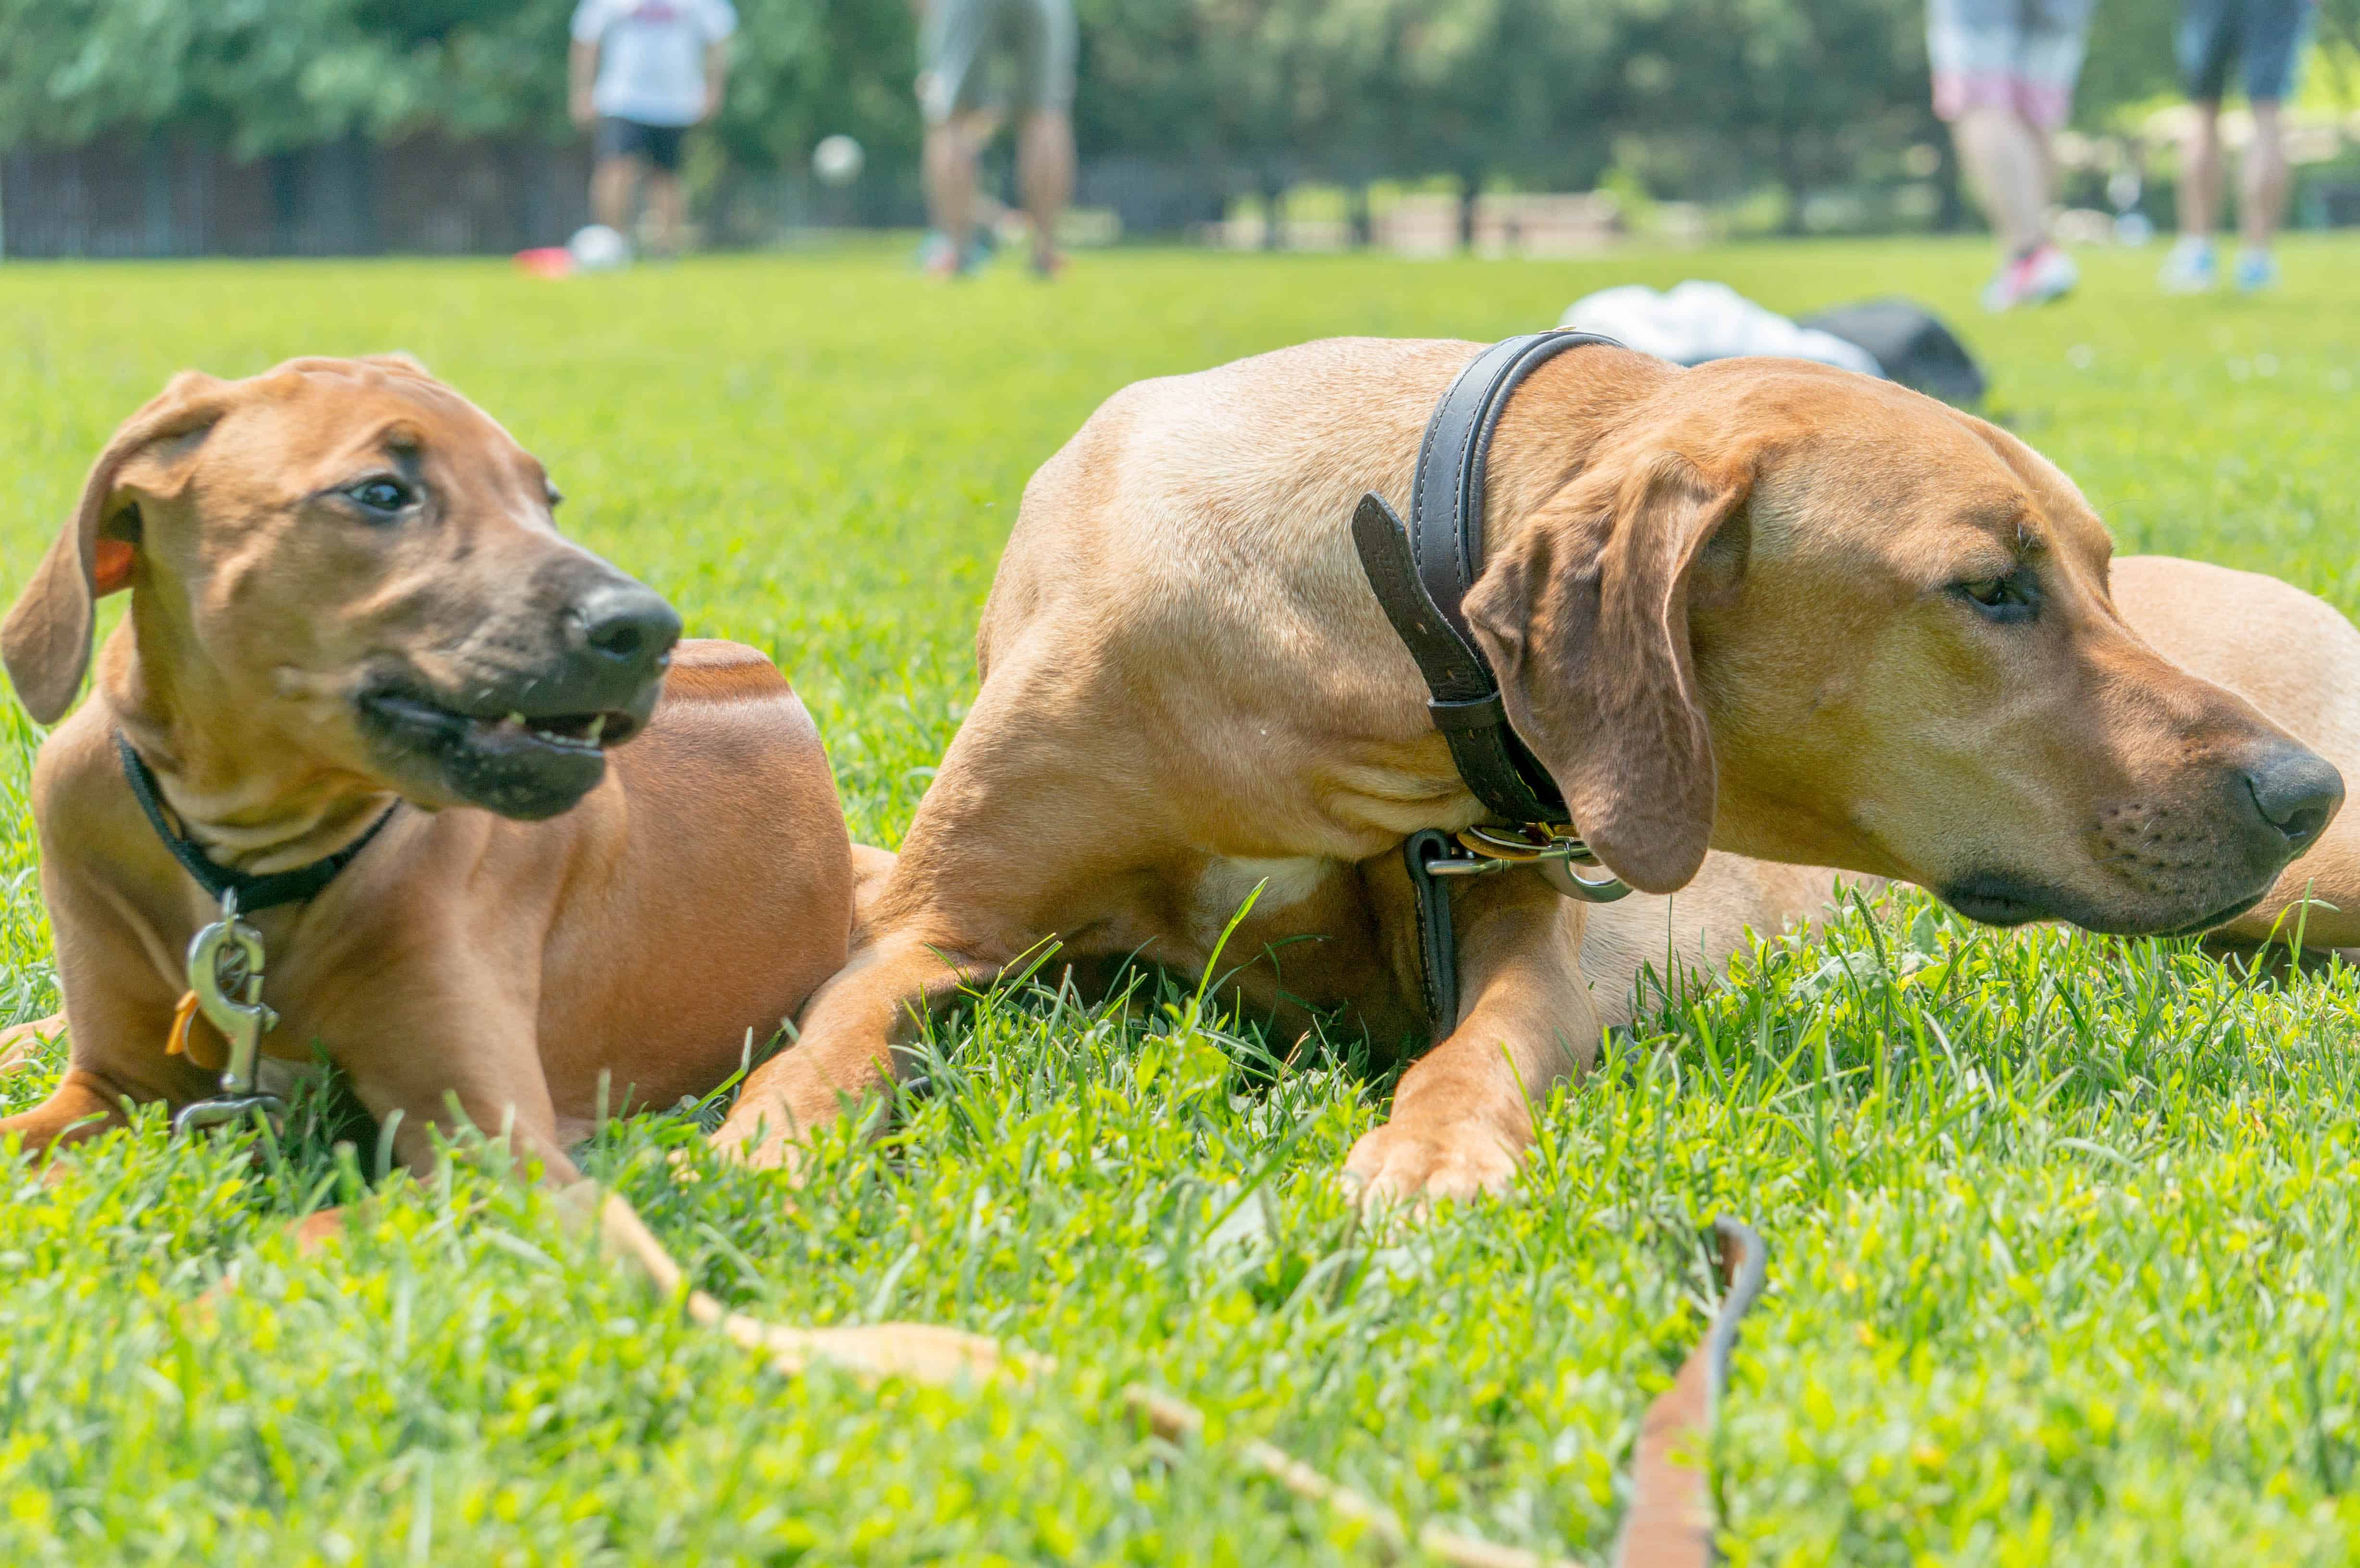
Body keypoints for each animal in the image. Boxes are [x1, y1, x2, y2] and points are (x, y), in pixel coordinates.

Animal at [0, 354, 849, 1171]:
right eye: (381, 493)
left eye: (545, 500)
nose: (646, 631)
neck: (244, 854)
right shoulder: (114, 1085)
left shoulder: (495, 1154)